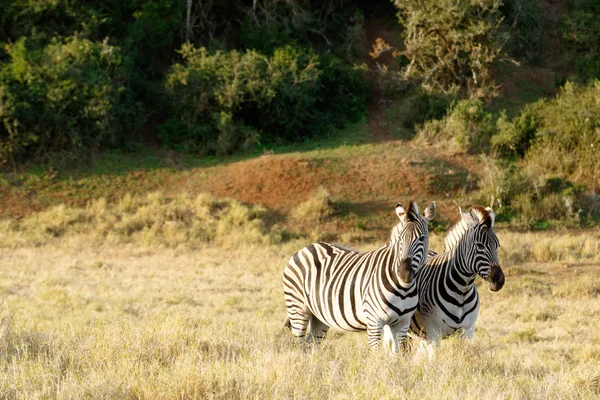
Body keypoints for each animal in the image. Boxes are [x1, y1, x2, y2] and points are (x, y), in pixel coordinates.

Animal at [282, 202, 436, 352]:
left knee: (311, 344)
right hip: (297, 308)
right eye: (400, 239)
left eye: (422, 238)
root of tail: (306, 248)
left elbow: (395, 354)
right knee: (299, 345)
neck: (404, 288)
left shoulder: (402, 323)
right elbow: (376, 354)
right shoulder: (374, 321)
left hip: (319, 315)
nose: (403, 274)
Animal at [408, 206, 506, 344]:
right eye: (479, 246)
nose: (499, 281)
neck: (462, 291)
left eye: (497, 245)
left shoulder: (467, 331)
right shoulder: (433, 331)